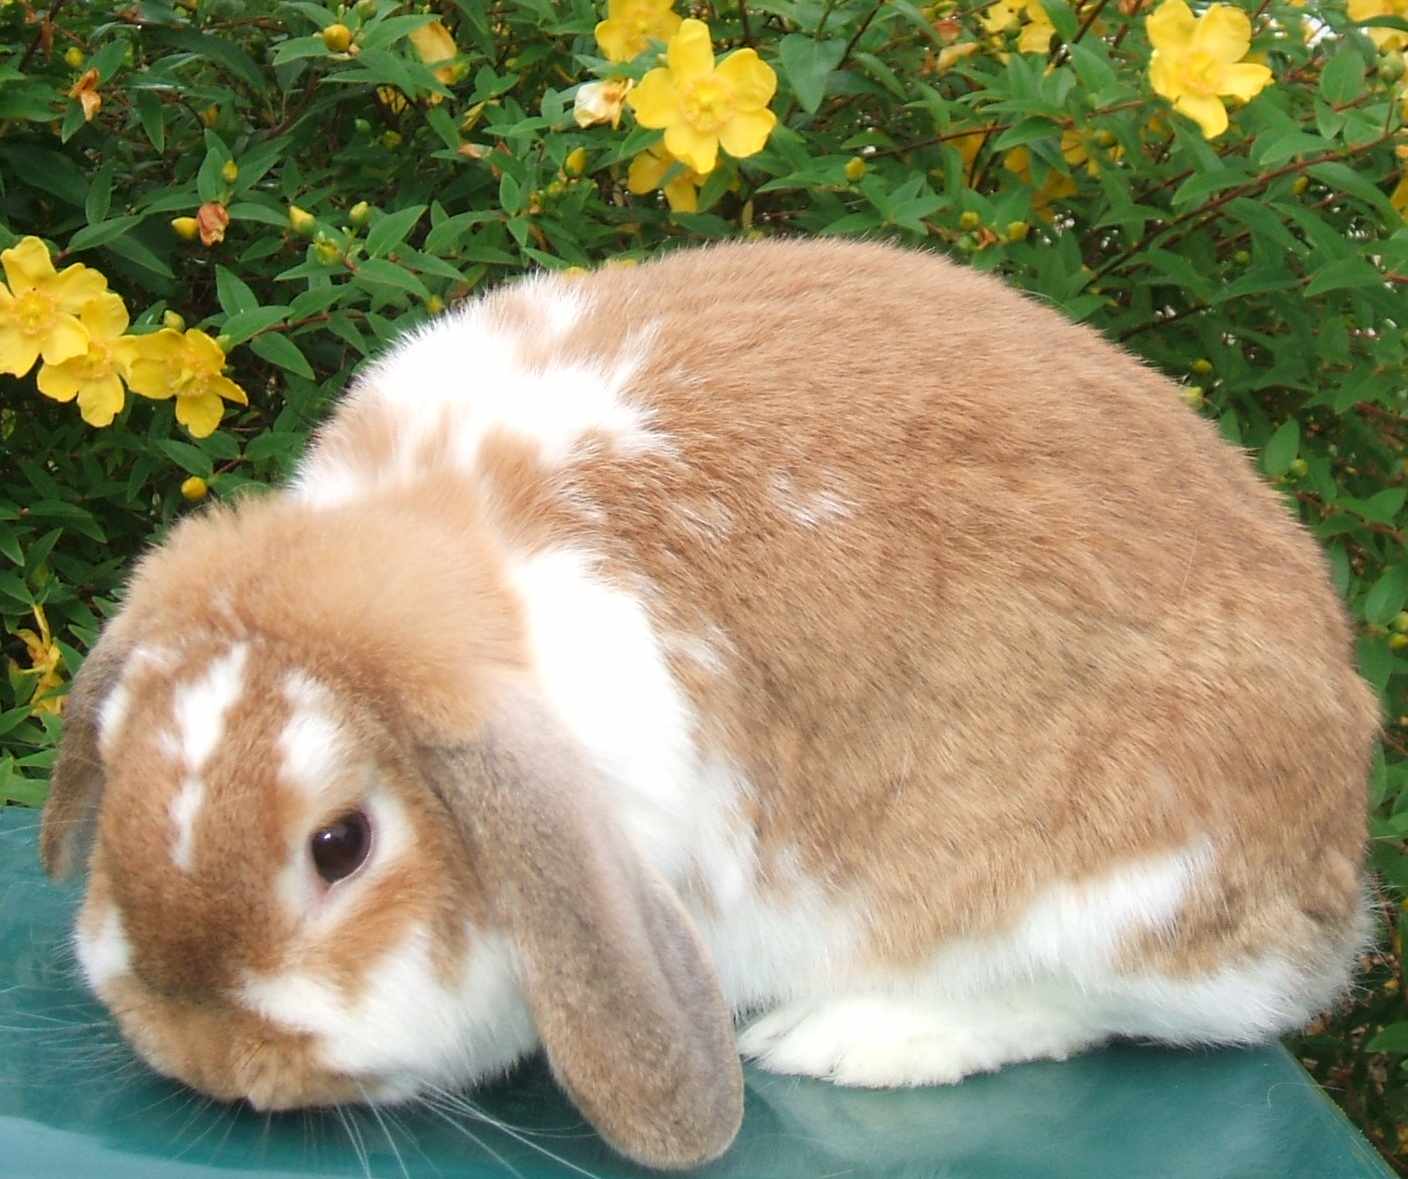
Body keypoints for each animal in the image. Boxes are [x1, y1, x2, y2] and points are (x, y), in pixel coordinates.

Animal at [39, 238, 1377, 1171]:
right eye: (116, 768)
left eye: (339, 846)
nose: (207, 1057)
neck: (465, 552)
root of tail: (1333, 873)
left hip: (1106, 883)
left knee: (1090, 1003)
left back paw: (853, 1039)